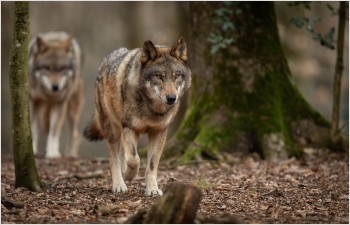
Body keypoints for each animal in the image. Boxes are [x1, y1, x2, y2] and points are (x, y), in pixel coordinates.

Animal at [83, 37, 191, 196]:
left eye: (176, 75)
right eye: (159, 76)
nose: (172, 98)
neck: (152, 109)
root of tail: (107, 59)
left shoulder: (159, 131)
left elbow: (152, 164)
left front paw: (152, 189)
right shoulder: (130, 128)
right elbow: (135, 159)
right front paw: (129, 175)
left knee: (122, 153)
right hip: (113, 129)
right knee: (114, 159)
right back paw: (119, 184)